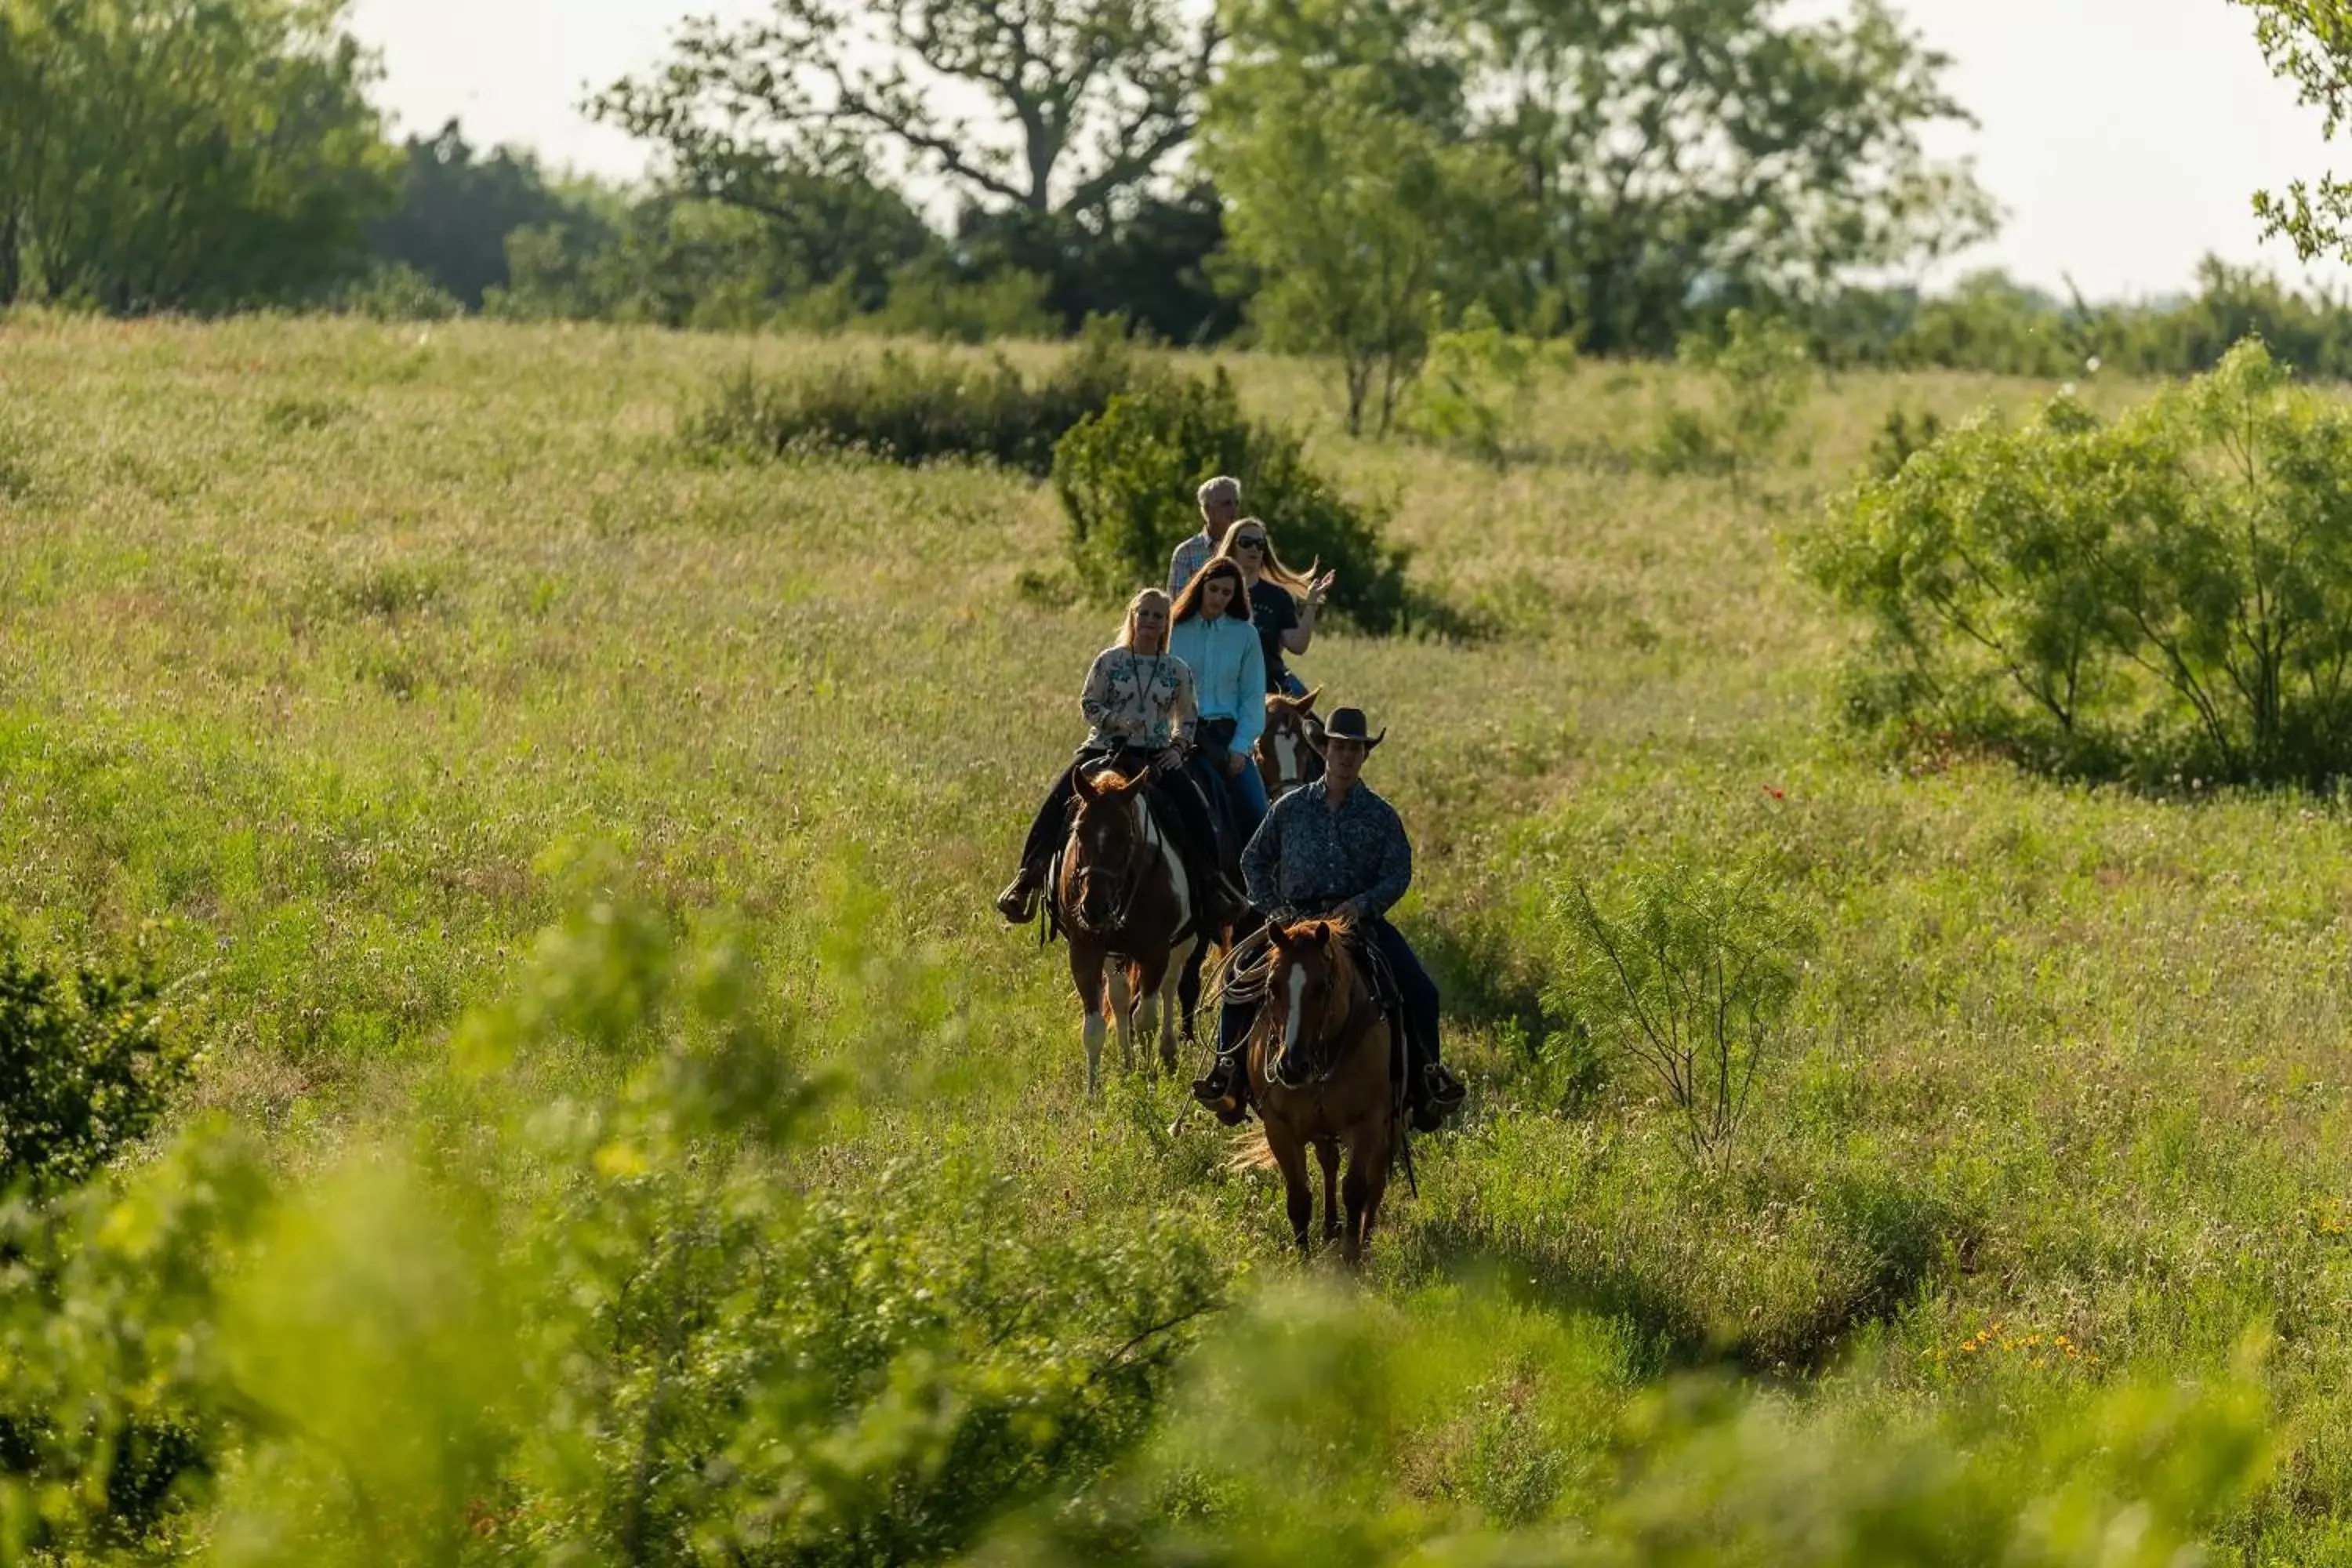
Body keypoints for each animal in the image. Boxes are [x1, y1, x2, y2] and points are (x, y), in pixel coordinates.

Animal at [1058, 766, 1204, 1100]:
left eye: (1125, 835)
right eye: (1079, 830)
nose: (1093, 909)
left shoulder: (1155, 951)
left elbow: (1147, 1019)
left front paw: (1149, 1081)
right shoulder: (1084, 951)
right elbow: (1094, 1028)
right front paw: (1093, 1093)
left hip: (1182, 943)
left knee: (1170, 986)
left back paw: (1167, 1054)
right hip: (1115, 955)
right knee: (1120, 997)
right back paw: (1128, 1063)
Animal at [1251, 921, 1392, 1260]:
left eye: (1321, 987)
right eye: (1272, 986)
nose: (1291, 1066)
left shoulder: (1370, 1120)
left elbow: (1356, 1189)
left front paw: (1351, 1258)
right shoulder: (1279, 1128)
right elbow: (1299, 1199)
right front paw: (1304, 1264)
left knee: (1376, 1180)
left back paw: (1362, 1242)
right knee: (1329, 1161)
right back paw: (1330, 1229)